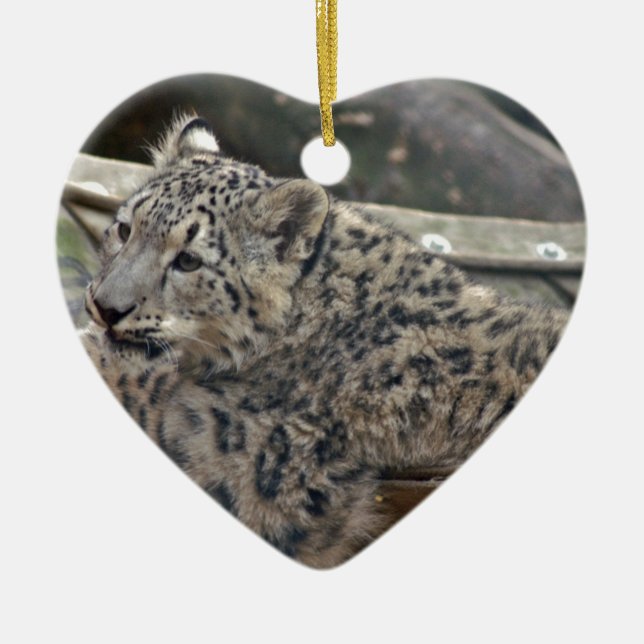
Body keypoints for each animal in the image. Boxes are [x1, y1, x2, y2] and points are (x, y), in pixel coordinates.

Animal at [81, 114, 570, 568]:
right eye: (124, 229)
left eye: (188, 261)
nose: (106, 307)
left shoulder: (252, 452)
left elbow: (153, 395)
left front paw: (96, 351)